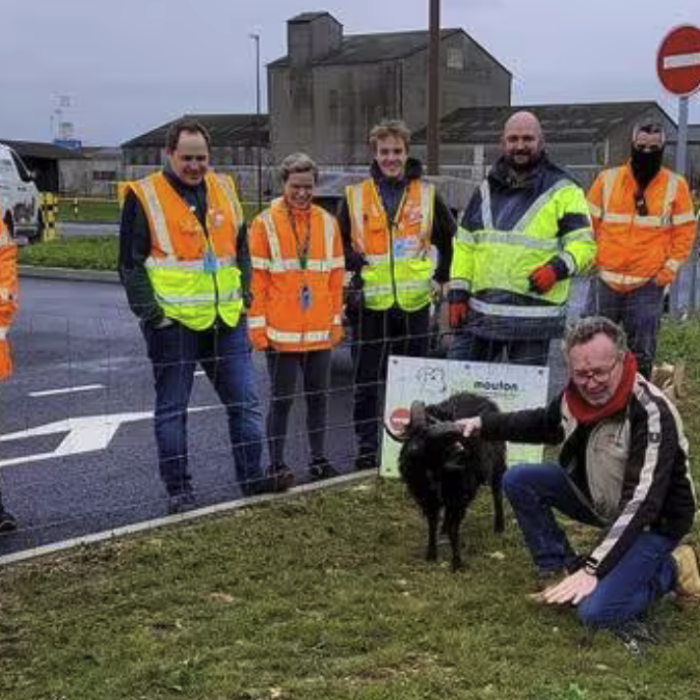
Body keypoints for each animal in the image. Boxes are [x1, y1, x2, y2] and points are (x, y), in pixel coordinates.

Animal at [386, 392, 506, 572]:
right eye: (413, 432)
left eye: (431, 441)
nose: (411, 452)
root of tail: (479, 396)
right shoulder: (429, 501)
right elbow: (432, 524)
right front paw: (431, 555)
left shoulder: (458, 498)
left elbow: (454, 530)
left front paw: (457, 563)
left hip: (497, 466)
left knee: (497, 493)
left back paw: (499, 527)